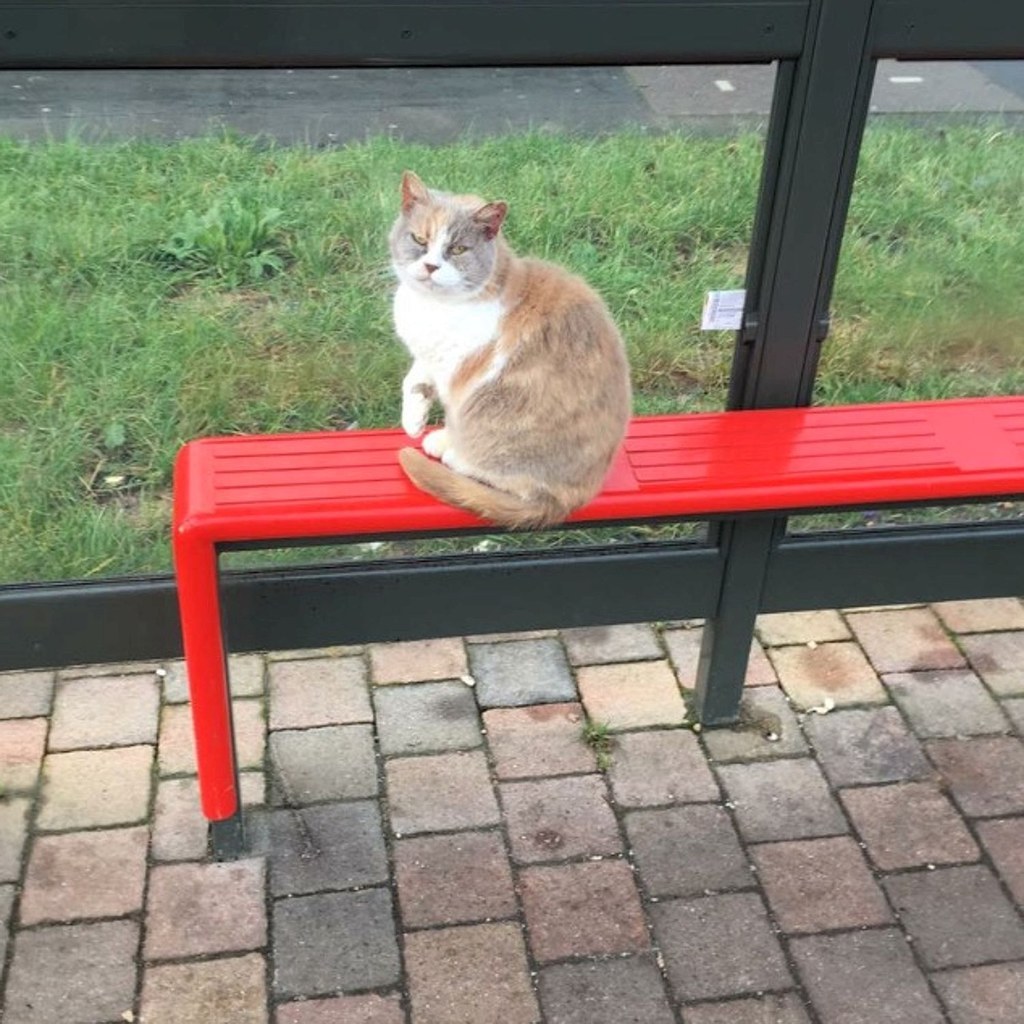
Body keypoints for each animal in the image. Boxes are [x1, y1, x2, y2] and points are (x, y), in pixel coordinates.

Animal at [391, 169, 630, 528]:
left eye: (458, 248)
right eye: (420, 239)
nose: (431, 266)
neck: (432, 306)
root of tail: (575, 497)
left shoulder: (458, 373)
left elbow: (453, 415)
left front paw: (444, 439)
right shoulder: (427, 355)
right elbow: (414, 379)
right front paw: (414, 419)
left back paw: (455, 455)